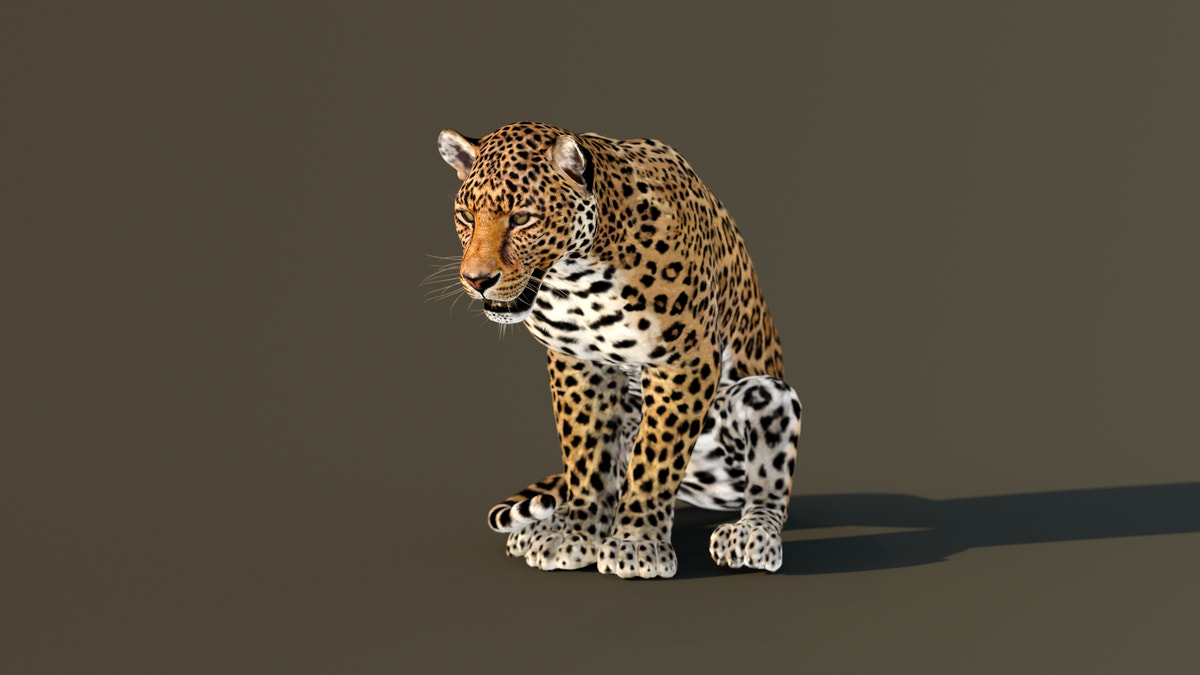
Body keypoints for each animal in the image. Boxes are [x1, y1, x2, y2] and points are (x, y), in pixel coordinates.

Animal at [436, 121, 802, 579]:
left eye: (521, 218)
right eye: (467, 216)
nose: (476, 280)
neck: (578, 277)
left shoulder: (684, 360)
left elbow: (655, 458)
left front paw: (636, 543)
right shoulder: (578, 363)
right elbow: (586, 454)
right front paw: (576, 533)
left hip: (766, 395)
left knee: (768, 486)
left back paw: (752, 535)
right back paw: (542, 528)